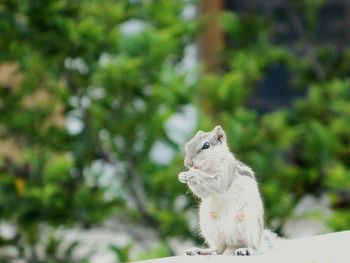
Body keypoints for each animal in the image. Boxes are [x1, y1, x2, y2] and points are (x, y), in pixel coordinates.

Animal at [179, 127, 278, 256]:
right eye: (187, 145)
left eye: (206, 145)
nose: (188, 163)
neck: (209, 168)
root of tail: (232, 244)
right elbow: (203, 193)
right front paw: (183, 176)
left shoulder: (227, 170)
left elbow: (219, 184)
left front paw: (194, 173)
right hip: (210, 226)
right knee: (219, 249)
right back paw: (202, 251)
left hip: (248, 223)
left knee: (254, 247)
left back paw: (246, 249)